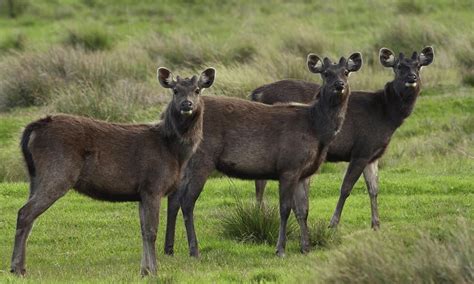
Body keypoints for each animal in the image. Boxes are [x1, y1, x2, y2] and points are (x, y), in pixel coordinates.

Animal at [10, 67, 217, 278]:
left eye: (197, 90)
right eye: (175, 90)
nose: (187, 104)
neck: (174, 151)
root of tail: (32, 129)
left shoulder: (141, 193)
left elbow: (143, 231)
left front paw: (144, 270)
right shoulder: (153, 185)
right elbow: (152, 231)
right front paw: (154, 271)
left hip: (35, 176)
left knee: (28, 215)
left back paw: (20, 267)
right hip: (58, 171)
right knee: (25, 213)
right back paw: (16, 268)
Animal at [163, 51, 362, 258]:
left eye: (346, 72)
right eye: (326, 73)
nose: (339, 85)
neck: (316, 129)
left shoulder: (305, 172)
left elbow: (303, 210)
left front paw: (305, 247)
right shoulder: (289, 166)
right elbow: (285, 209)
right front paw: (280, 249)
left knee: (174, 198)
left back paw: (169, 249)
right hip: (202, 160)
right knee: (187, 201)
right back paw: (194, 250)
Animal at [252, 46, 434, 229]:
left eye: (418, 65)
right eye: (398, 66)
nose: (412, 77)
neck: (385, 116)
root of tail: (256, 93)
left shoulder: (373, 155)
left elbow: (374, 189)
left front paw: (376, 224)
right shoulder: (362, 149)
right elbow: (346, 187)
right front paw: (333, 223)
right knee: (261, 182)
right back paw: (261, 216)